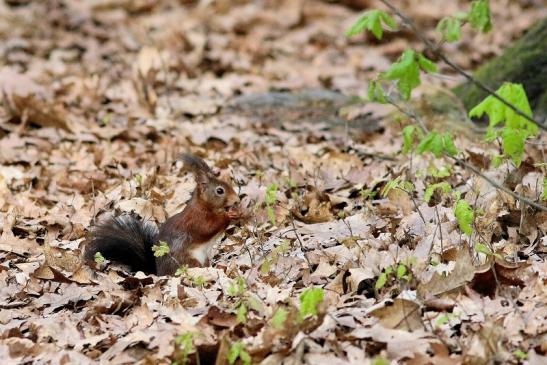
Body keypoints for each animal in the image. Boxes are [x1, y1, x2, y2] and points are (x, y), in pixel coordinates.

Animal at [83, 152, 240, 274]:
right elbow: (207, 228)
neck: (204, 206)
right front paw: (227, 216)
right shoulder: (196, 220)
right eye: (220, 191)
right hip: (188, 260)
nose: (237, 199)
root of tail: (159, 274)